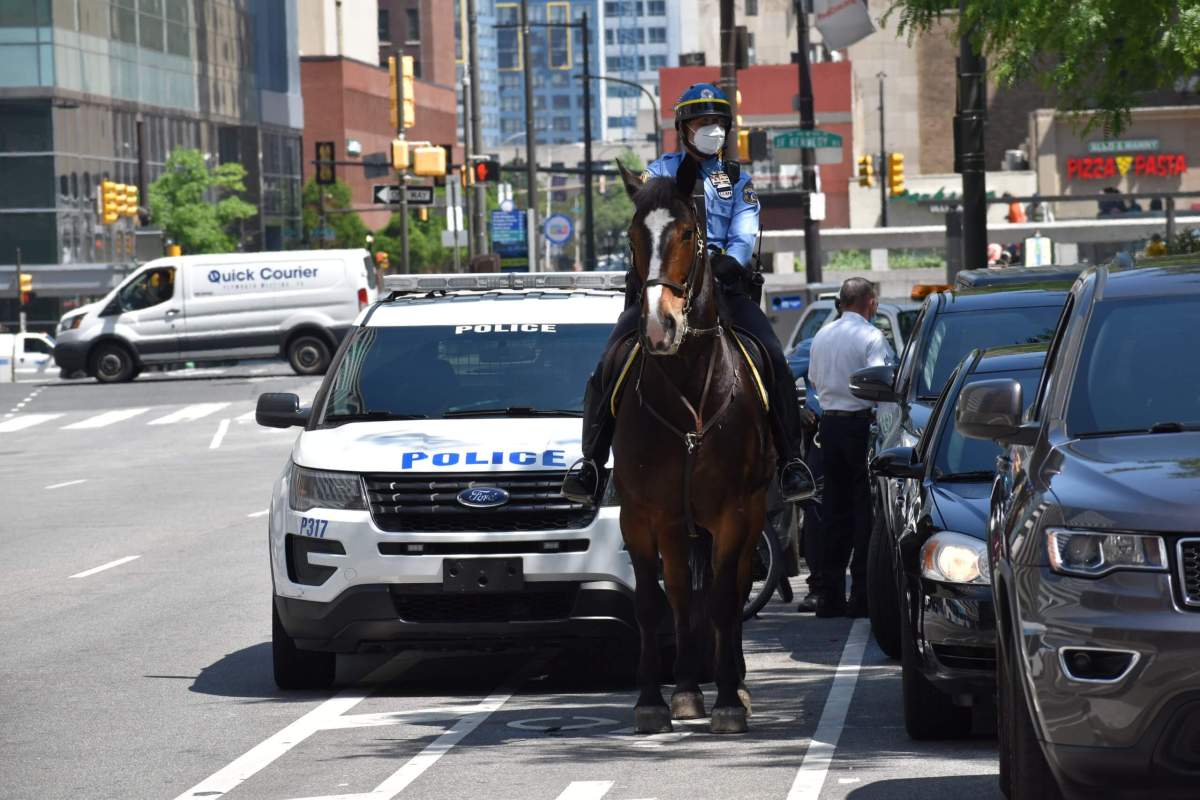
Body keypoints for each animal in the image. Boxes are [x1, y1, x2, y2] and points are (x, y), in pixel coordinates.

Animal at [614, 158, 772, 738]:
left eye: (688, 233)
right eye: (633, 236)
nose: (659, 326)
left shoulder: (734, 513)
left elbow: (726, 602)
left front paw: (727, 700)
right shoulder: (642, 514)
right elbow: (652, 603)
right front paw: (653, 700)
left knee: (732, 589)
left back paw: (737, 684)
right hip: (678, 524)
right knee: (682, 594)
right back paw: (684, 688)